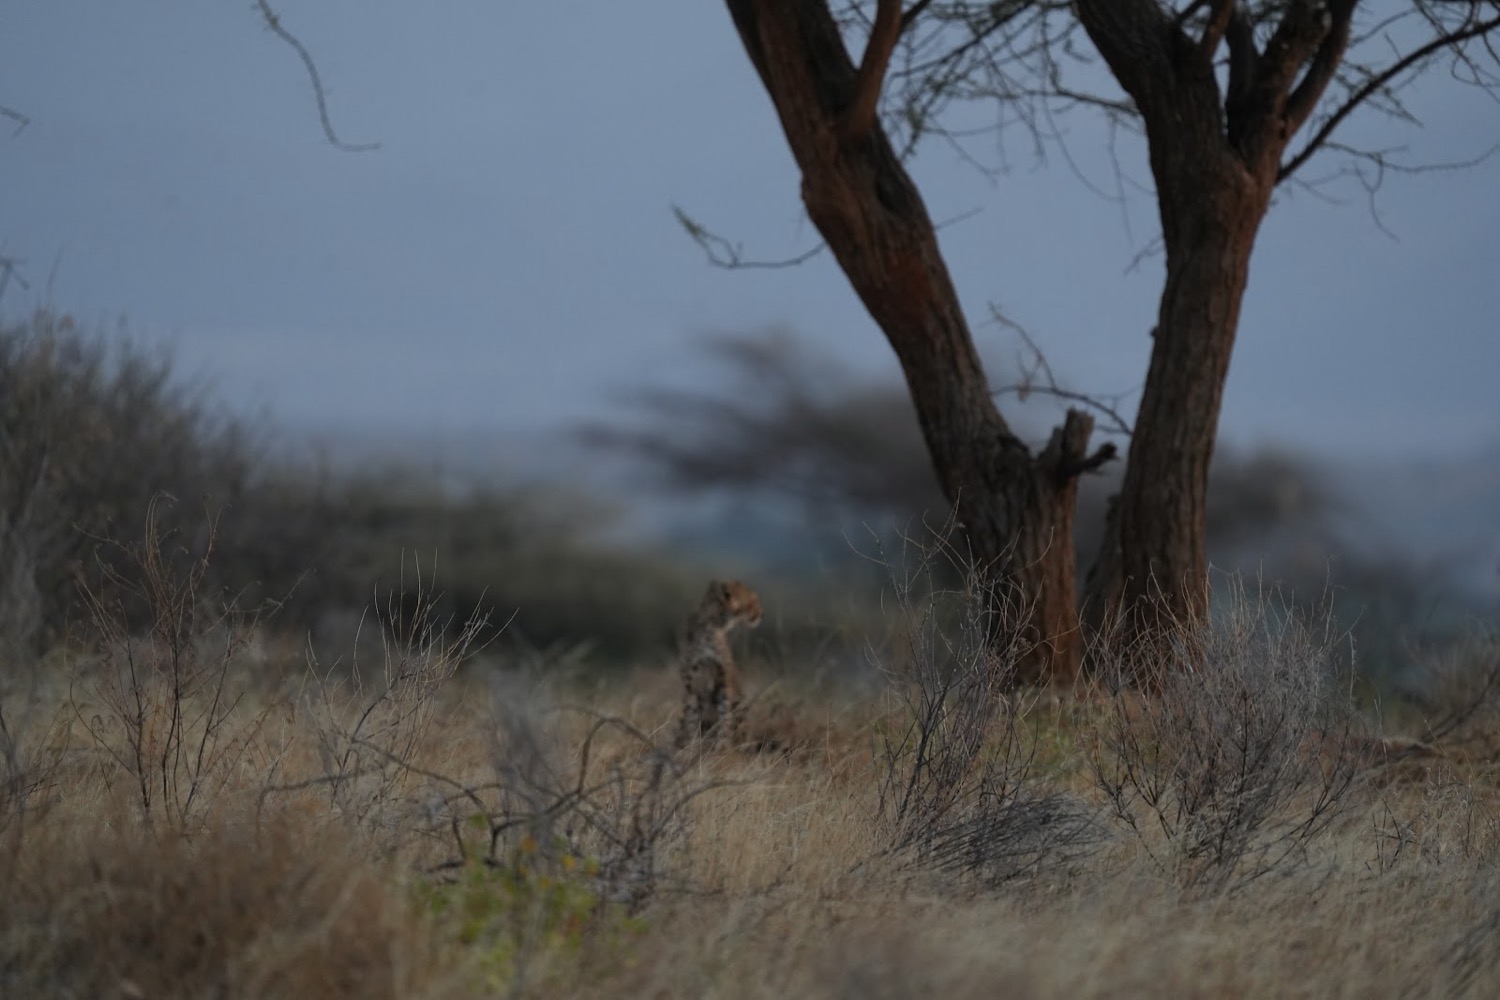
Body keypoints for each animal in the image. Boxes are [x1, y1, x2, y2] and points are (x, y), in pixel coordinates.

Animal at [673, 579, 763, 749]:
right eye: (752, 602)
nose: (761, 614)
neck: (713, 626)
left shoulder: (723, 680)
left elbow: (724, 716)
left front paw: (722, 747)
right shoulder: (691, 683)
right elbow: (690, 717)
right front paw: (689, 745)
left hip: (740, 706)